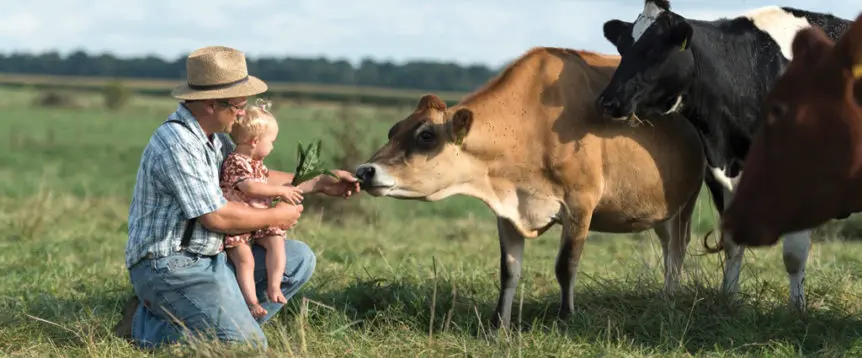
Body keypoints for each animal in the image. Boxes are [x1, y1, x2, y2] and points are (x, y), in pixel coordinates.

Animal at [354, 46, 712, 330]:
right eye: (393, 130)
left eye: (426, 135)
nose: (364, 171)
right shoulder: (507, 211)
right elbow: (509, 270)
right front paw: (499, 324)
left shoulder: (580, 204)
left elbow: (566, 266)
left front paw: (566, 318)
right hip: (662, 211)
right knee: (668, 247)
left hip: (687, 202)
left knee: (677, 251)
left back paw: (669, 298)